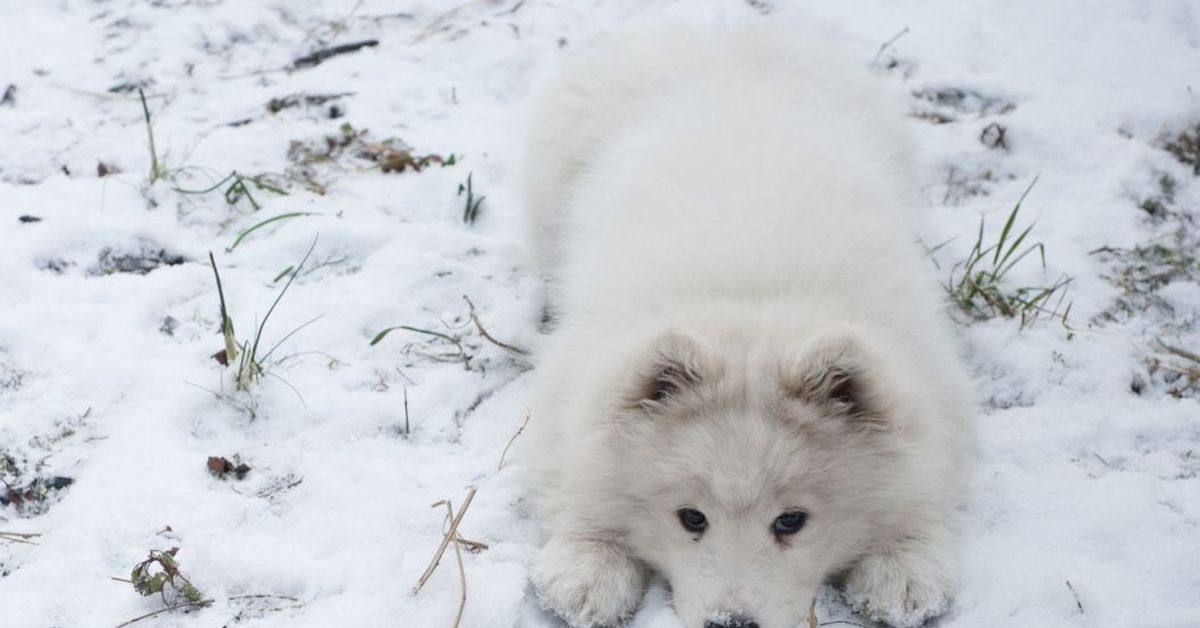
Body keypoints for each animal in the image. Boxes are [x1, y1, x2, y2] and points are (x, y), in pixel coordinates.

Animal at [520, 9, 969, 628]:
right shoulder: (575, 376)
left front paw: (902, 568)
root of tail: (726, 33)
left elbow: (929, 472)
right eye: (691, 518)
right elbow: (571, 469)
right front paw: (588, 570)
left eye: (791, 521)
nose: (732, 624)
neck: (752, 299)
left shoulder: (930, 379)